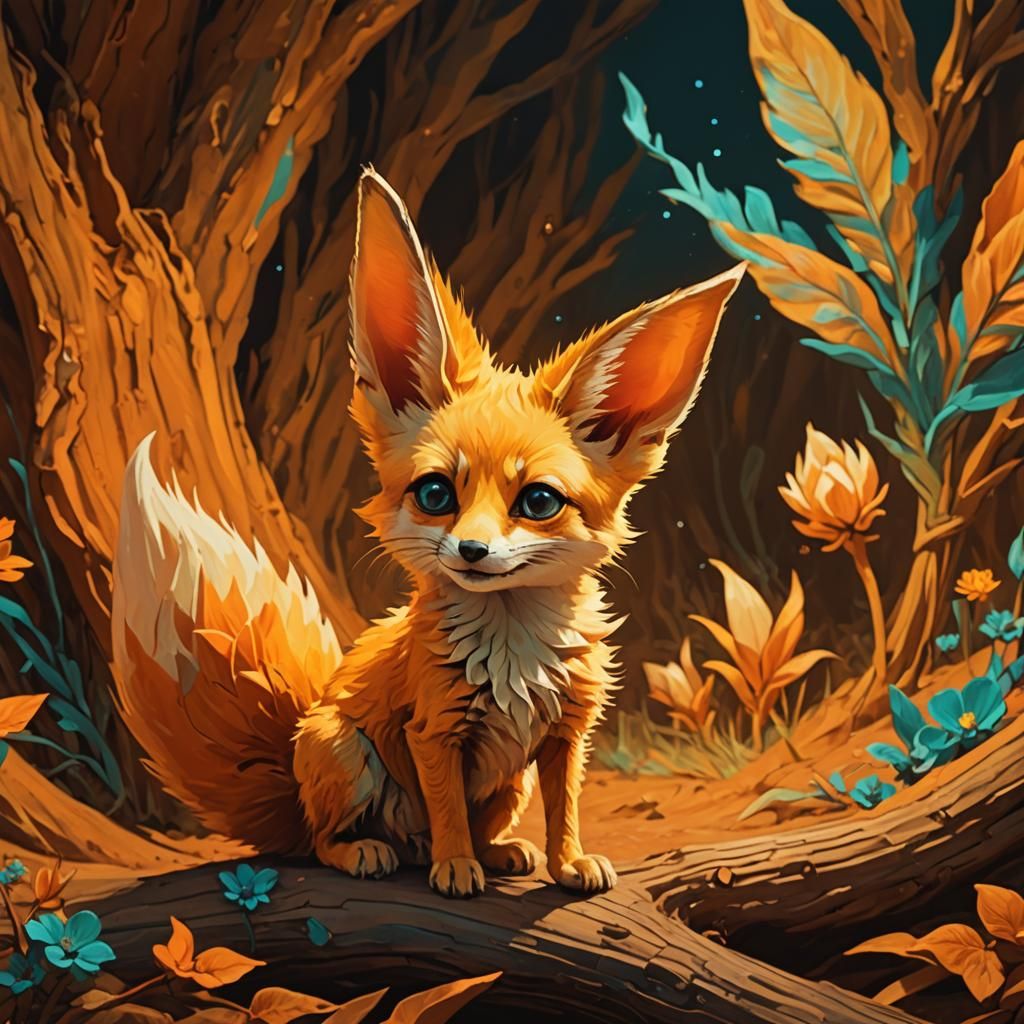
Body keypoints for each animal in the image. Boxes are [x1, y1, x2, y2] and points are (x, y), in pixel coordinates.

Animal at [111, 168, 744, 899]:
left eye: (539, 501)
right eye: (437, 493)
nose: (471, 550)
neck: (512, 652)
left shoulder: (567, 733)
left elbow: (566, 807)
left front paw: (567, 862)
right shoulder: (433, 732)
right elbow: (446, 811)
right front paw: (456, 866)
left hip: (509, 785)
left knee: (466, 826)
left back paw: (499, 852)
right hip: (342, 750)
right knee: (324, 842)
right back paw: (372, 851)